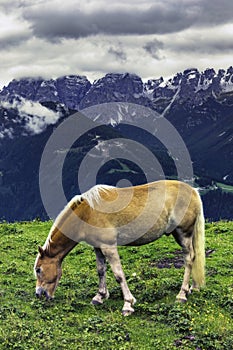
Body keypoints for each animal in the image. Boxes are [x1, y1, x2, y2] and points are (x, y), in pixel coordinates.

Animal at [33, 179, 205, 316]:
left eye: (39, 270)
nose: (39, 294)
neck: (88, 213)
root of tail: (193, 191)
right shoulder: (98, 247)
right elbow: (101, 270)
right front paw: (99, 296)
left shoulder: (109, 247)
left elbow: (119, 275)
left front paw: (128, 305)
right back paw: (191, 288)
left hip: (184, 234)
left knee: (189, 259)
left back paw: (182, 294)